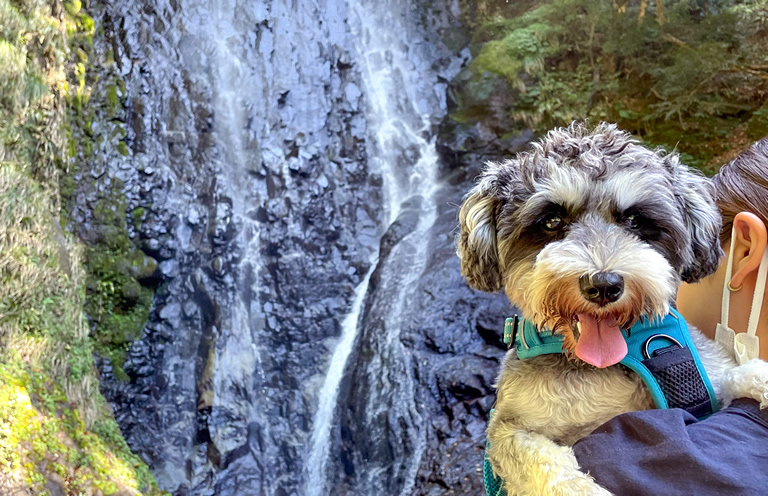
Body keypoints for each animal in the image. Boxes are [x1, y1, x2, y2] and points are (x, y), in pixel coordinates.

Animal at [456, 123, 768, 496]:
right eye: (551, 221)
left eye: (634, 219)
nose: (603, 285)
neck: (595, 368)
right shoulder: (508, 428)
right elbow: (541, 460)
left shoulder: (704, 376)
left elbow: (735, 372)